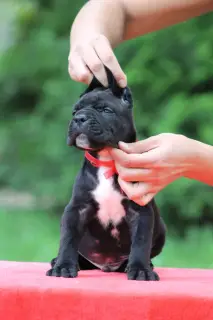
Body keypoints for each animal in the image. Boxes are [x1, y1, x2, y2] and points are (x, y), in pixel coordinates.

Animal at [47, 68, 166, 280]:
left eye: (105, 110)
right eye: (74, 111)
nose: (79, 118)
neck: (106, 160)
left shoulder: (140, 211)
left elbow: (141, 241)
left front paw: (140, 269)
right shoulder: (76, 209)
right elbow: (67, 239)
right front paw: (63, 266)